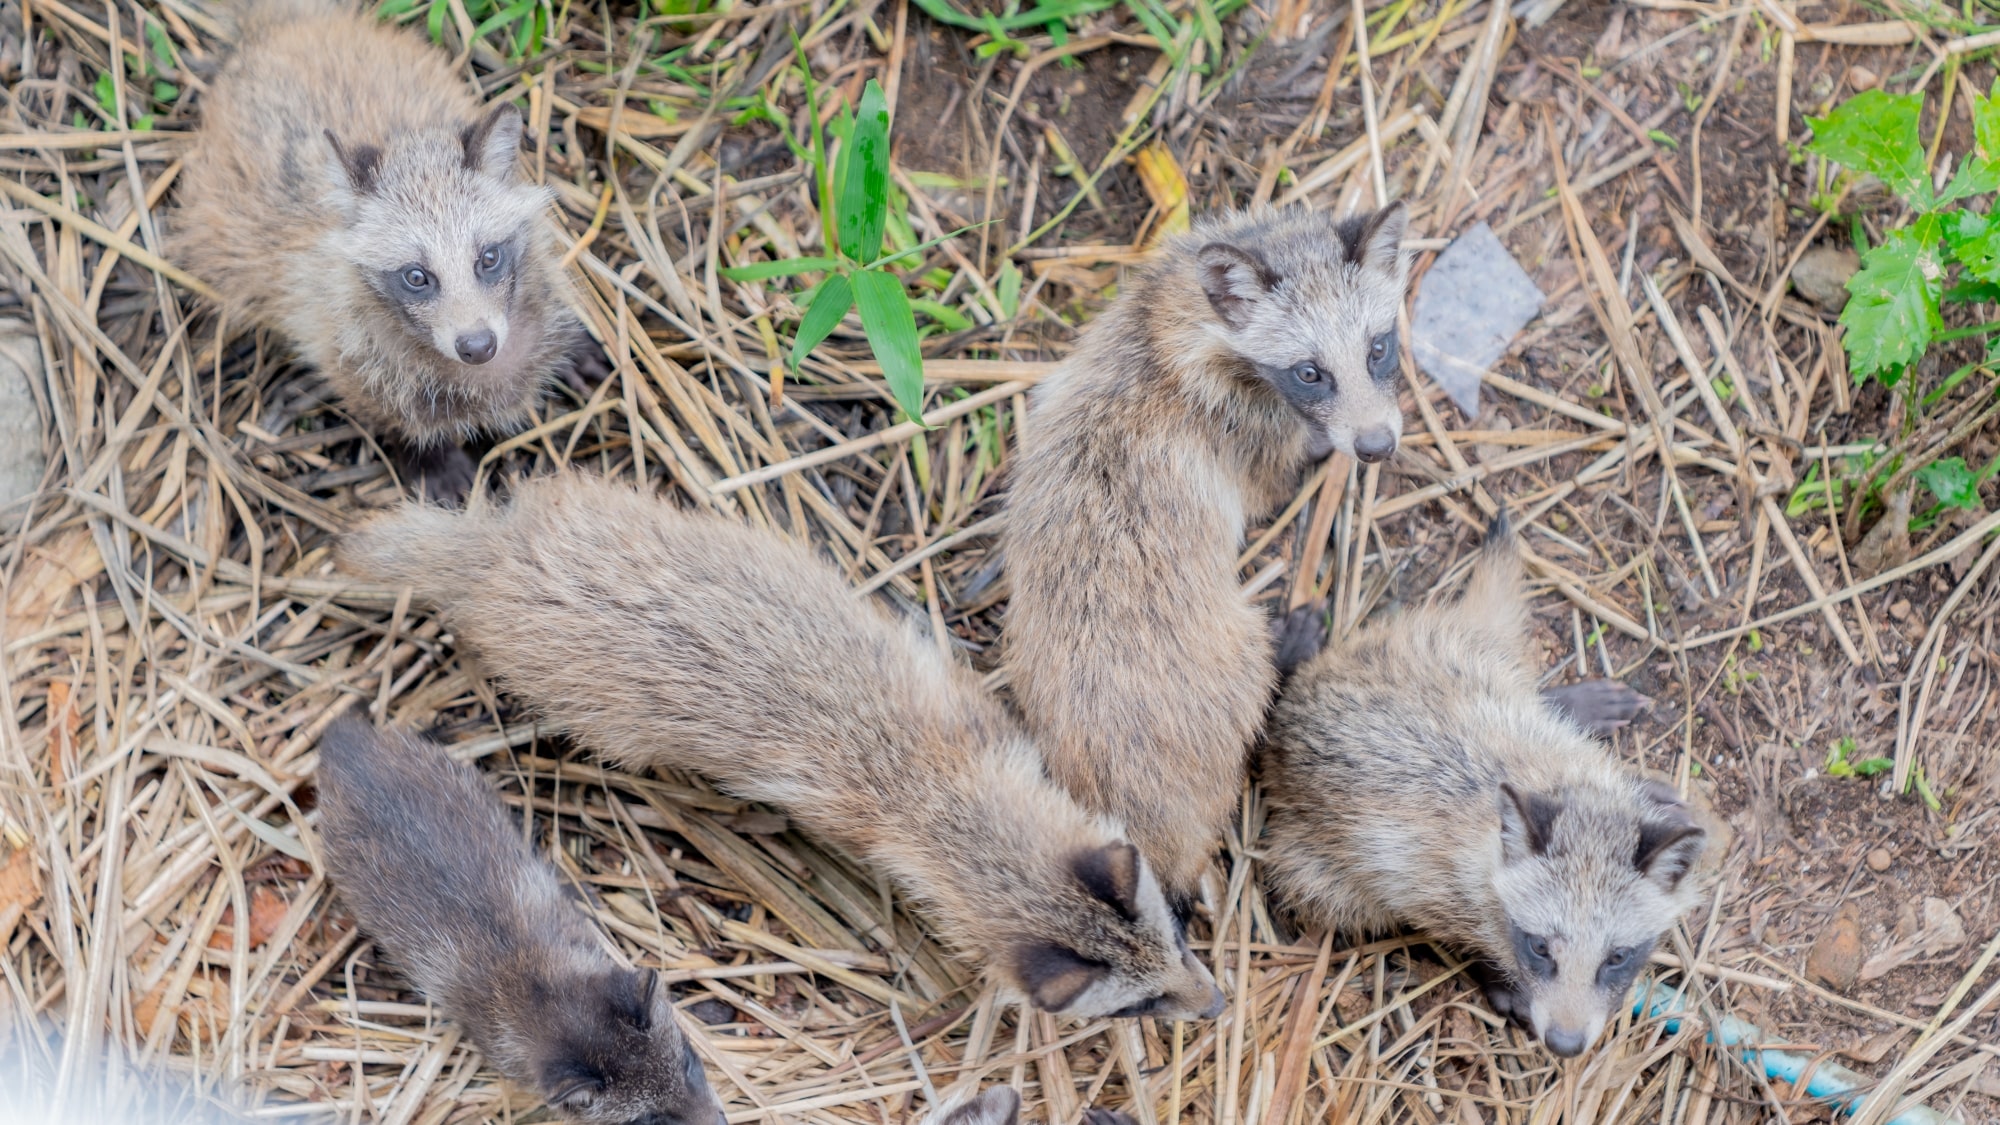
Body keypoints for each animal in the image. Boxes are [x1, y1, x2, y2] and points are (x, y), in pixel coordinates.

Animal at [175, 0, 596, 498]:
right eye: (416, 276)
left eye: (488, 258)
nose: (478, 347)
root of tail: (283, 24)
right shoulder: (337, 340)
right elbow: (389, 413)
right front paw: (430, 458)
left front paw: (576, 343)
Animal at [1008, 206, 1416, 916]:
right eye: (1309, 372)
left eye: (1377, 347)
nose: (1374, 447)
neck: (1172, 323)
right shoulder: (1250, 439)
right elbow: (1284, 465)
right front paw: (1322, 449)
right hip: (1231, 654)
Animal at [1264, 512, 1704, 1056]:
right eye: (1540, 947)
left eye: (1617, 957)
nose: (1565, 1044)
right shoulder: (1404, 877)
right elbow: (1458, 939)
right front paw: (1497, 977)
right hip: (1317, 878)